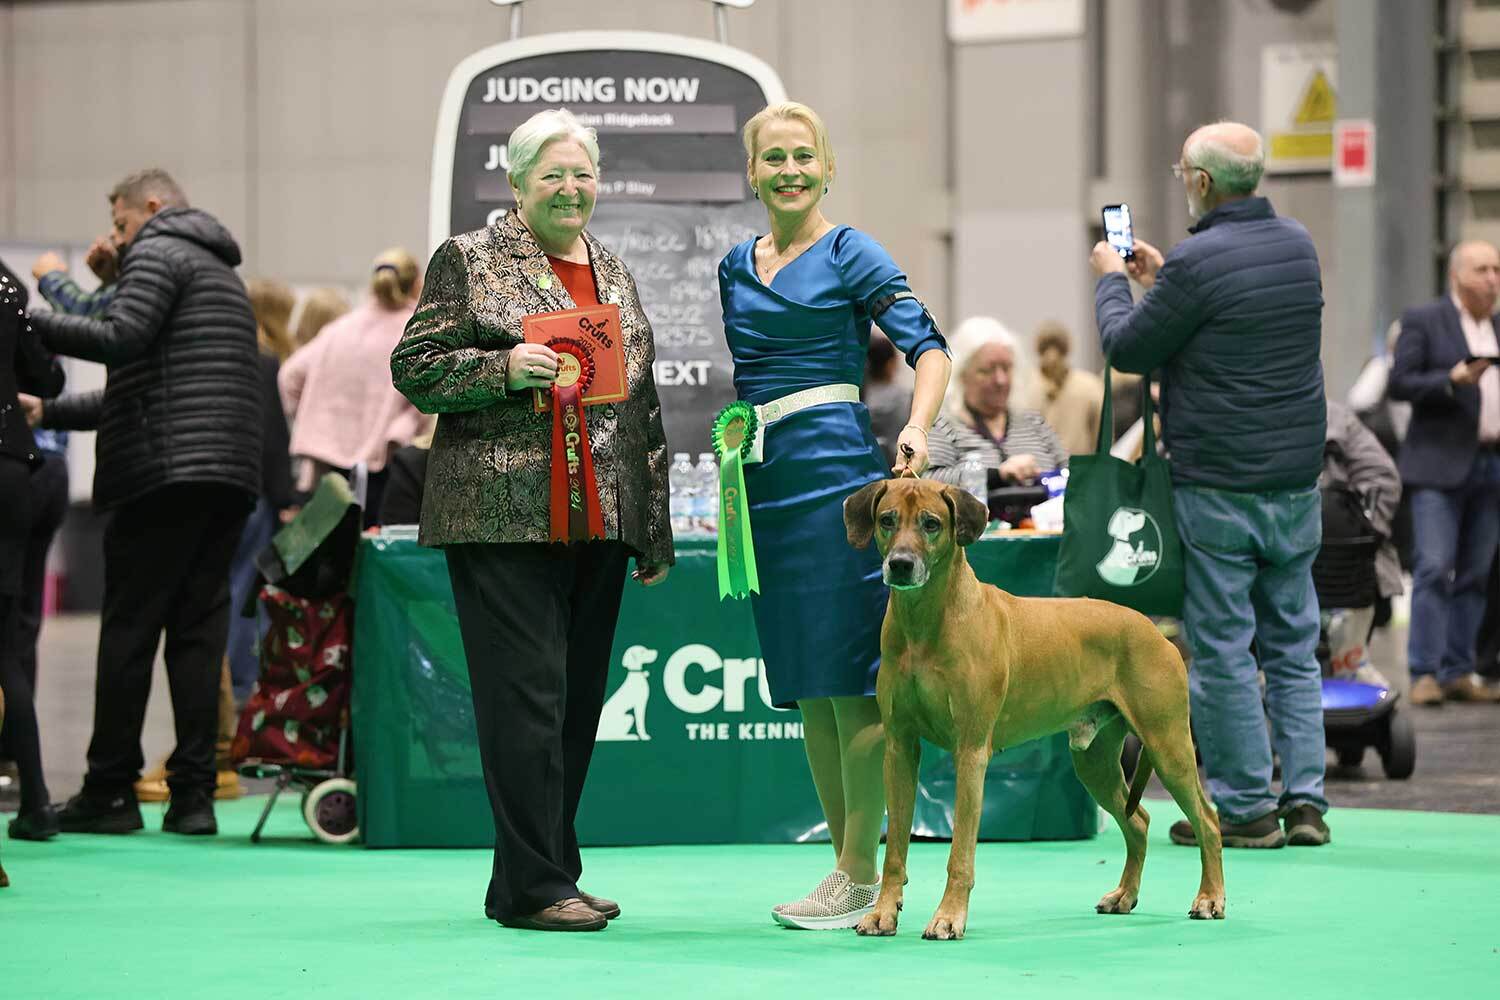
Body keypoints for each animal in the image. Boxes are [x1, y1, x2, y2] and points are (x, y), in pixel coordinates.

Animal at [840, 479, 1224, 941]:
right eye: (887, 520)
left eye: (931, 524)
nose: (900, 564)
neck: (927, 621)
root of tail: (1155, 630)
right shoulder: (899, 748)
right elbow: (895, 846)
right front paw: (883, 912)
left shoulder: (971, 752)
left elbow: (960, 853)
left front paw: (949, 916)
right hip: (1094, 762)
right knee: (1140, 822)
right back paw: (1124, 895)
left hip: (1168, 746)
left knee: (1208, 820)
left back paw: (1210, 898)